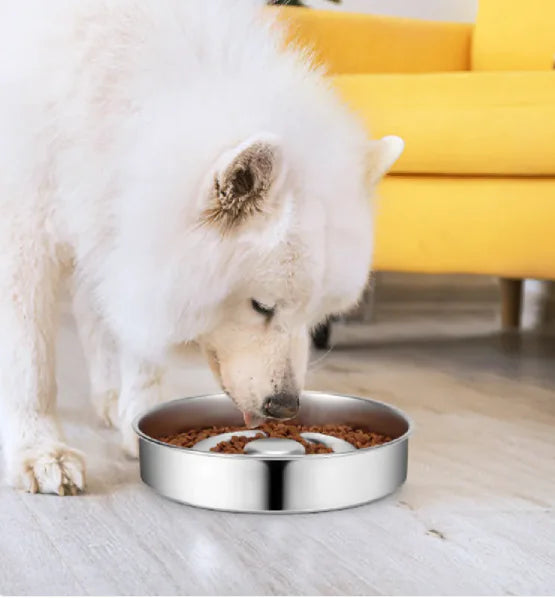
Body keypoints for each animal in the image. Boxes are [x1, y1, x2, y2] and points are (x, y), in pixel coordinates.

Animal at [0, 0, 404, 496]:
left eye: (317, 317)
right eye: (261, 306)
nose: (285, 407)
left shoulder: (128, 236)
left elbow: (139, 345)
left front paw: (138, 414)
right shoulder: (26, 237)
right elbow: (31, 363)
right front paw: (41, 450)